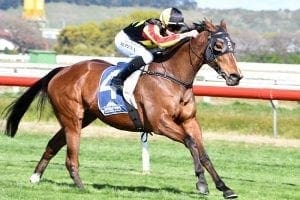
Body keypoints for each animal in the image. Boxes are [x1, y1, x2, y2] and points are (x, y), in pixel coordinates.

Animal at [4, 19, 243, 199]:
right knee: (71, 155)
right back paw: (81, 186)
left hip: (82, 118)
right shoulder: (160, 123)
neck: (173, 77)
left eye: (233, 45)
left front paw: (224, 188)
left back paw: (35, 177)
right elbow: (191, 143)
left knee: (53, 144)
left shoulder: (190, 121)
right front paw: (201, 184)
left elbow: (203, 152)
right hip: (72, 118)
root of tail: (62, 70)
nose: (236, 76)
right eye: (218, 46)